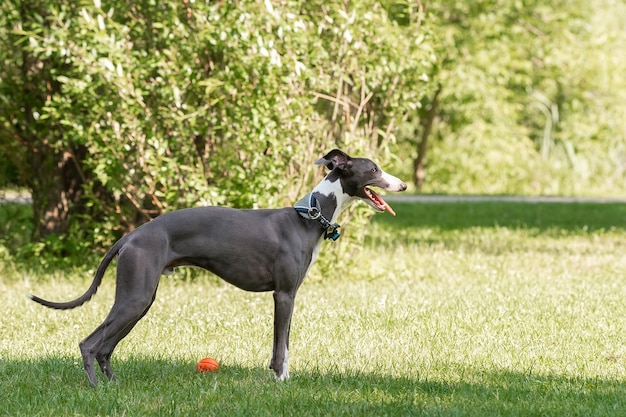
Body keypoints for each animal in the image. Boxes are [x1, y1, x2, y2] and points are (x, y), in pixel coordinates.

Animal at [30, 149, 404, 384]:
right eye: (373, 169)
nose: (402, 185)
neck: (309, 216)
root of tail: (132, 235)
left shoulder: (291, 296)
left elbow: (285, 342)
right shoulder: (283, 295)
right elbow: (279, 346)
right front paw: (280, 380)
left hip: (140, 300)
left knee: (106, 348)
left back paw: (114, 386)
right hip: (134, 298)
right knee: (90, 344)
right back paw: (96, 389)